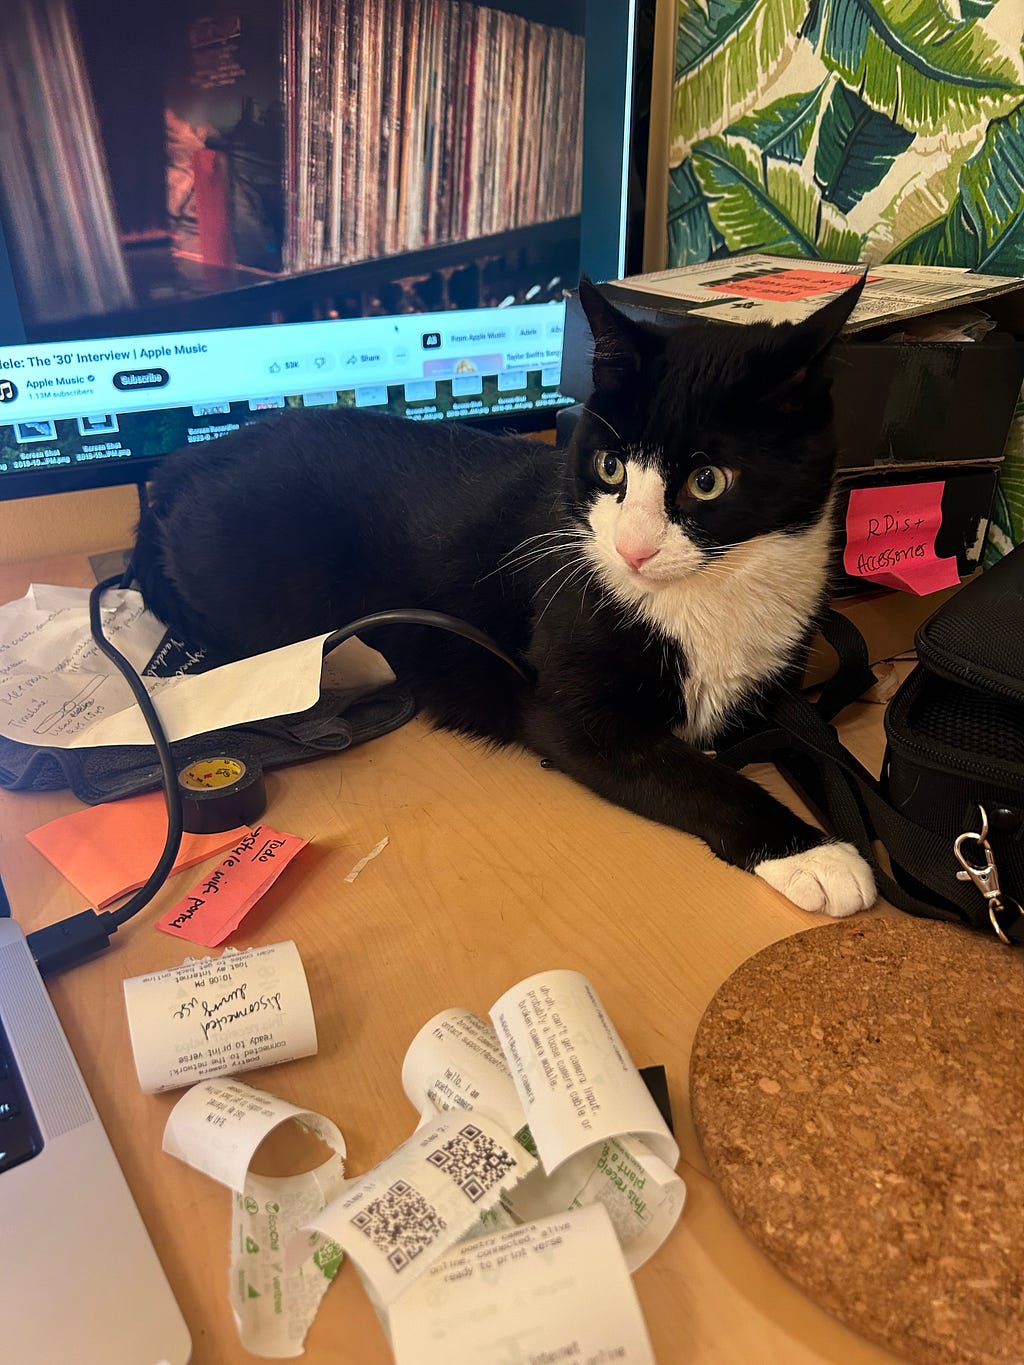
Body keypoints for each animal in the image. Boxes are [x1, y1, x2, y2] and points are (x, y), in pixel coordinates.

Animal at [132, 277, 879, 917]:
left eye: (708, 481)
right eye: (611, 467)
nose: (632, 549)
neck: (708, 596)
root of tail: (181, 466)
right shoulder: (564, 705)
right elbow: (687, 773)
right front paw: (814, 852)